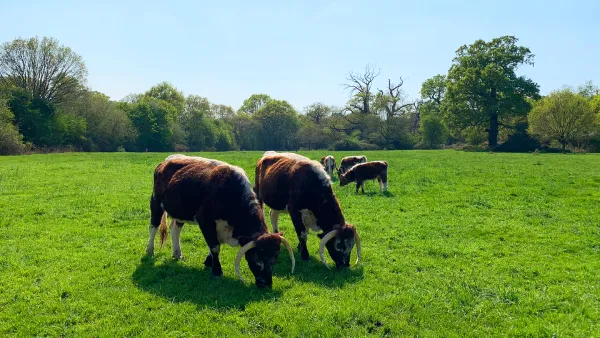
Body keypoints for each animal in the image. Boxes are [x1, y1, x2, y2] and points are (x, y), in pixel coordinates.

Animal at [146, 154, 294, 288]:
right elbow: (215, 247)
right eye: (257, 256)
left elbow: (213, 246)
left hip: (181, 211)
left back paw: (177, 254)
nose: (266, 283)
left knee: (175, 229)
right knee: (153, 226)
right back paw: (149, 251)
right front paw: (217, 271)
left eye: (276, 255)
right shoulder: (205, 221)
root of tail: (165, 161)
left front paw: (208, 262)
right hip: (156, 202)